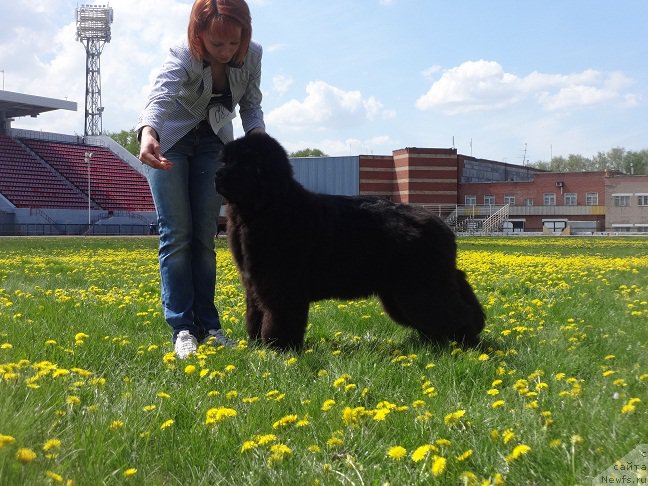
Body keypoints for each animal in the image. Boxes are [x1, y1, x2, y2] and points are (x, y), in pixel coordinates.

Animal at [215, 133, 484, 350]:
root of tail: (442, 225)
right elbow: (255, 316)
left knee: (452, 312)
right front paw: (257, 346)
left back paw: (463, 342)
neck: (267, 207)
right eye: (225, 160)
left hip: (421, 286)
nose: (217, 175)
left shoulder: (282, 285)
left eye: (244, 162)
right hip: (404, 291)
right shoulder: (254, 284)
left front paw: (279, 350)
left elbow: (278, 318)